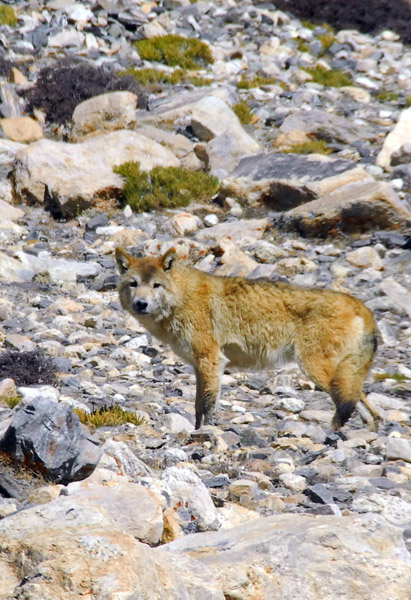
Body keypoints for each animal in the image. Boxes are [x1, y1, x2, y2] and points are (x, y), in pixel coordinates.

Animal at [114, 247, 378, 432]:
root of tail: (362, 306)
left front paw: (208, 433)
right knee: (369, 410)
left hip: (318, 371)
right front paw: (198, 431)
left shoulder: (212, 361)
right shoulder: (200, 366)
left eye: (156, 285)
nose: (141, 304)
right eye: (133, 284)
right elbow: (198, 406)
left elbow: (209, 406)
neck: (182, 297)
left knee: (353, 406)